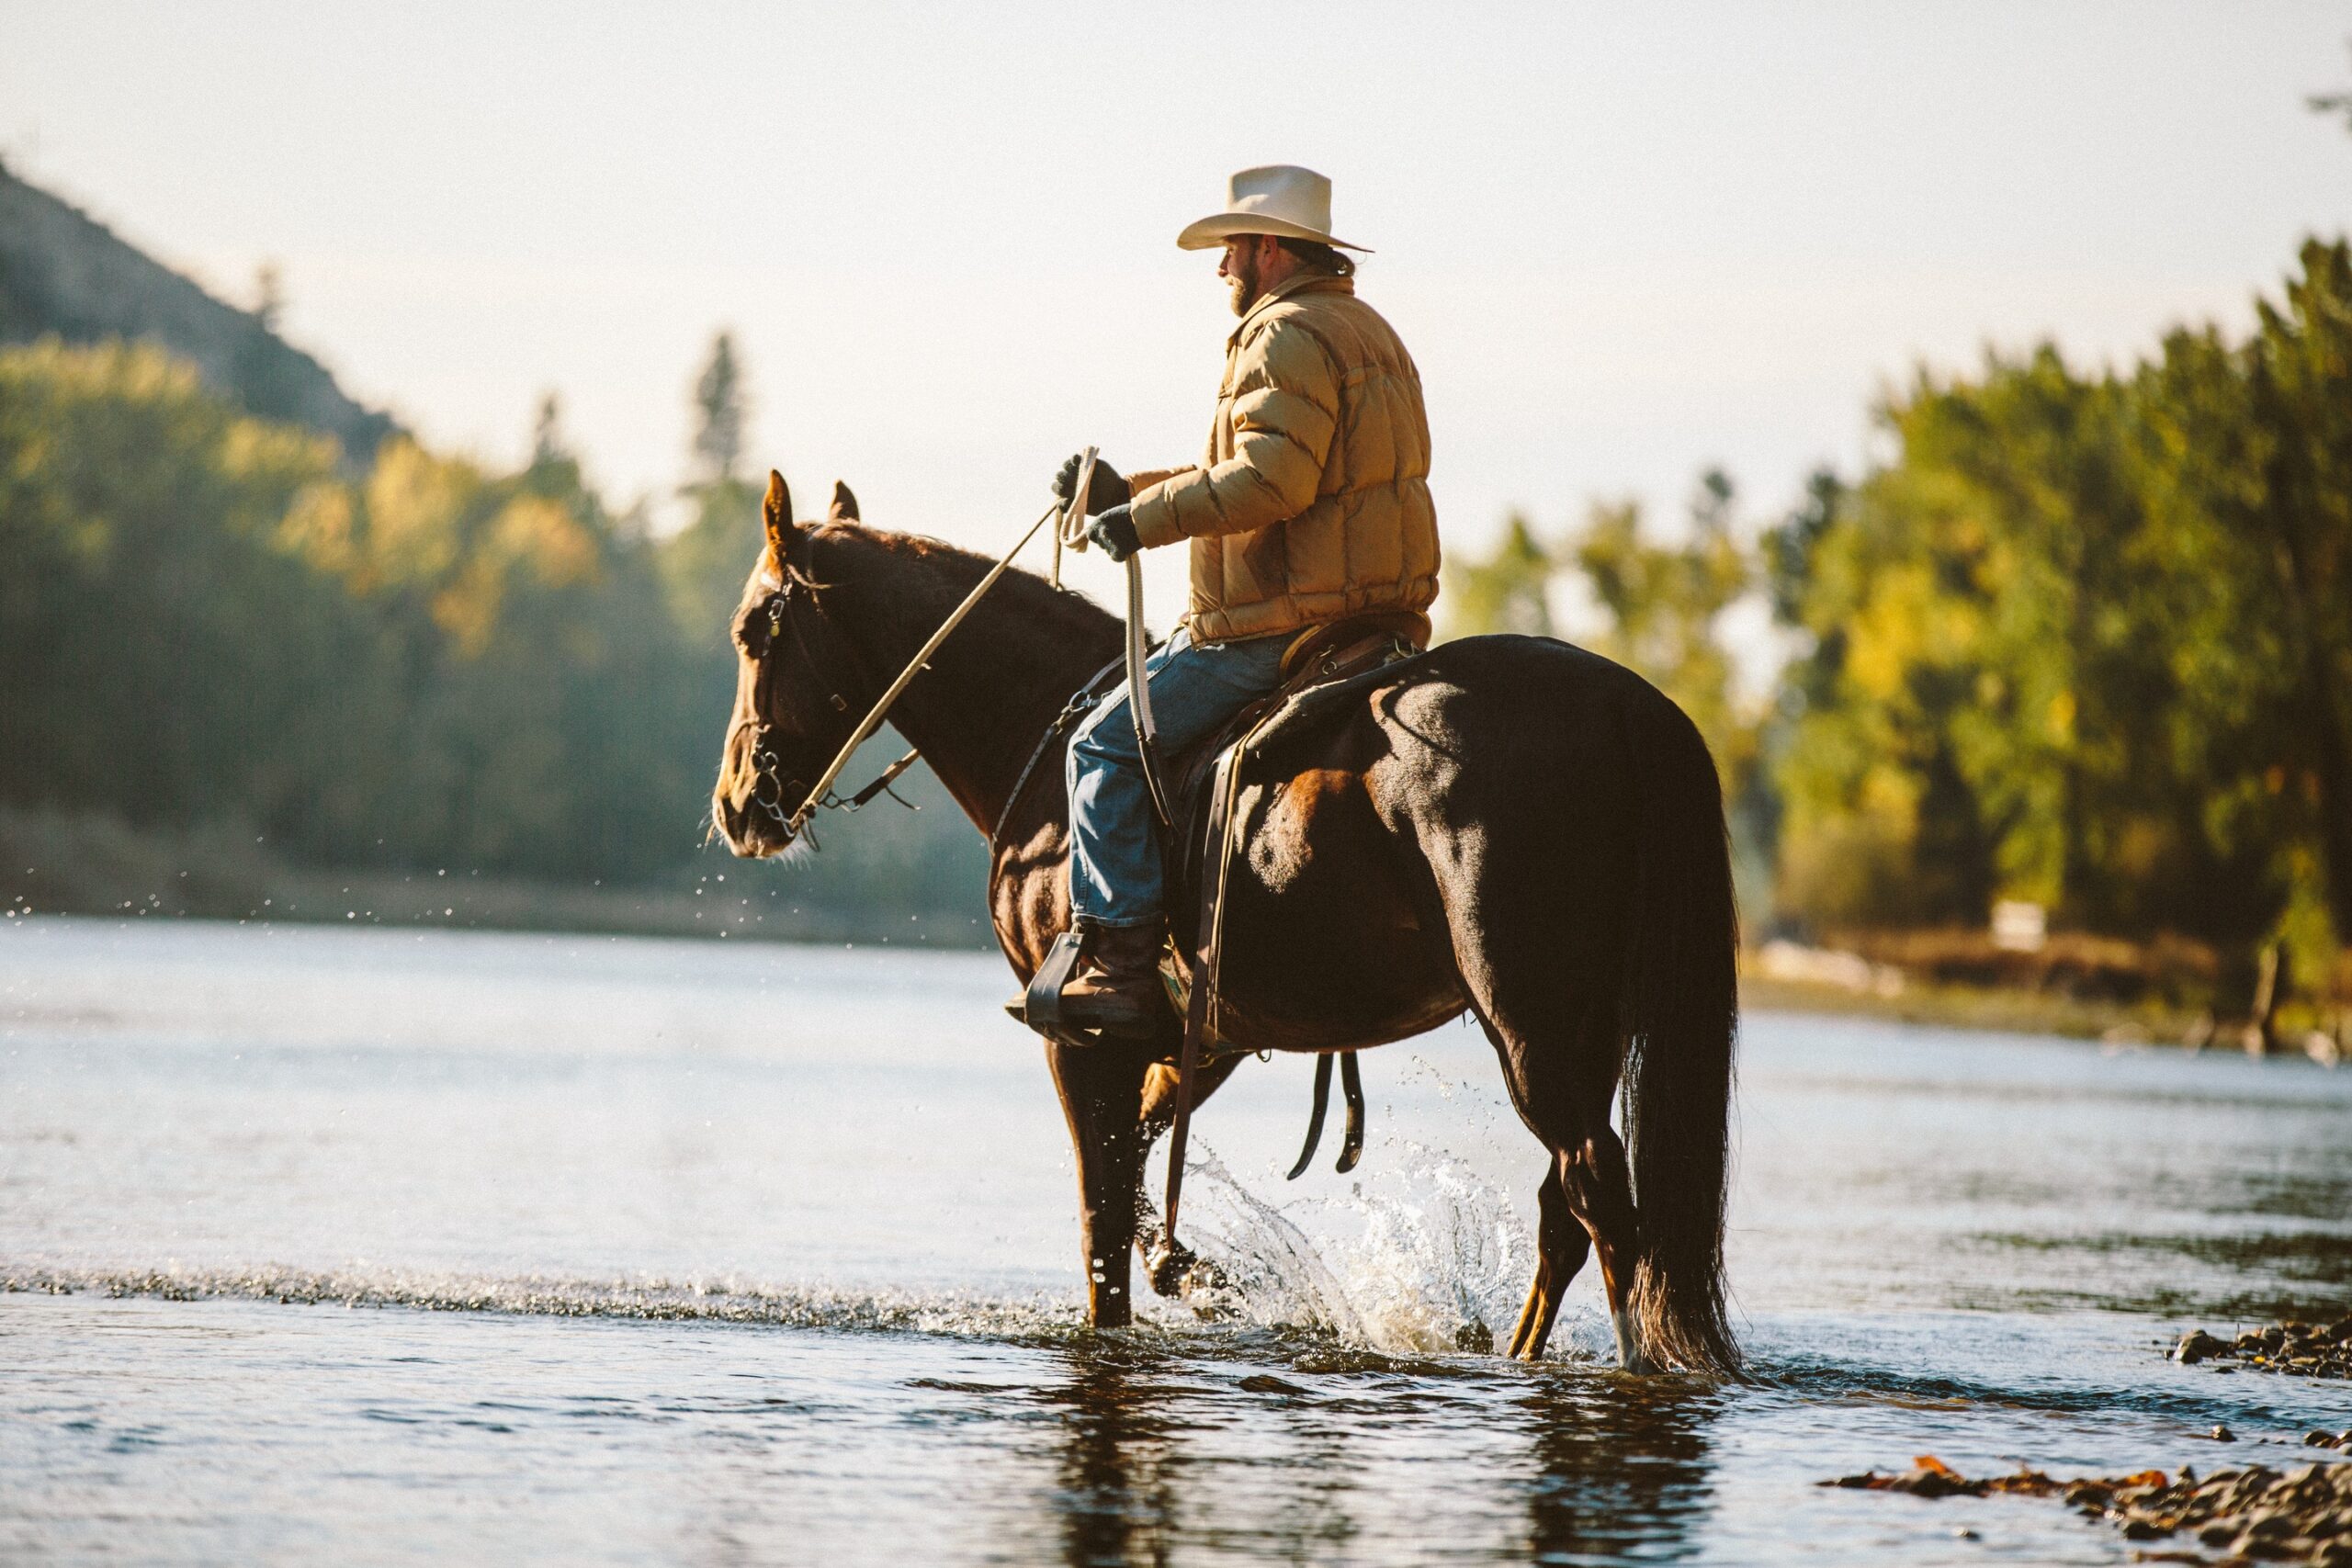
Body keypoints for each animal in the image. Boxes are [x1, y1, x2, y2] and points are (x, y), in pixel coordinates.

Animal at [706, 474, 1740, 1372]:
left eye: (755, 628)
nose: (736, 803)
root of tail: (1630, 706)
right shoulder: (1199, 1039)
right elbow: (1136, 1189)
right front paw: (1198, 1274)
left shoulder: (1079, 1037)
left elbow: (1102, 1224)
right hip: (1590, 1033)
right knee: (1564, 1211)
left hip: (1533, 1027)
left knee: (1599, 1197)